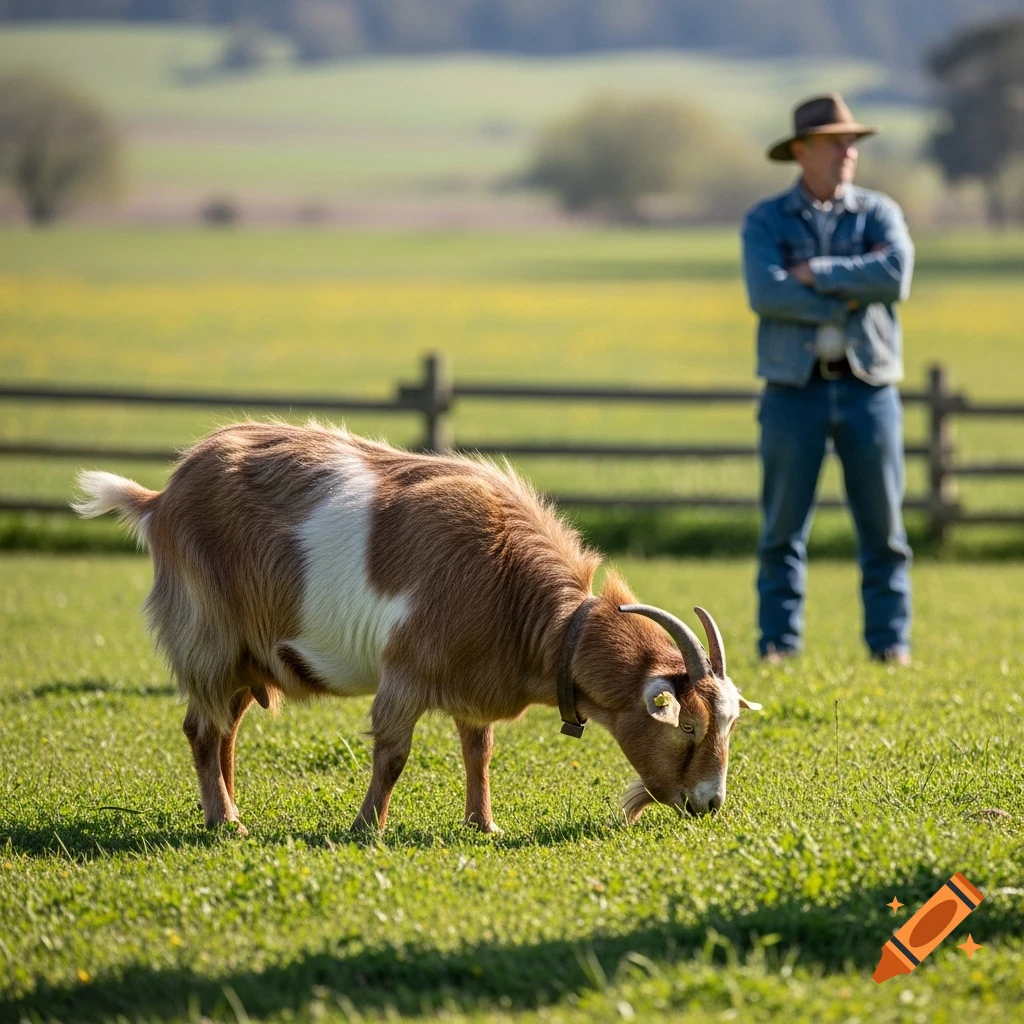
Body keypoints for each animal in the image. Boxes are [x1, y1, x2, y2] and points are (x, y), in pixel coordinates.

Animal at [73, 422, 761, 834]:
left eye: (728, 724)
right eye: (689, 726)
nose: (710, 803)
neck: (514, 590)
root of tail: (160, 498)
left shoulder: (474, 683)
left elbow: (479, 751)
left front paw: (483, 825)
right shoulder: (405, 669)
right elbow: (394, 753)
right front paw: (365, 830)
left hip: (249, 653)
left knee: (226, 729)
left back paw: (226, 811)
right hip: (209, 638)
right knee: (201, 727)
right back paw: (227, 821)